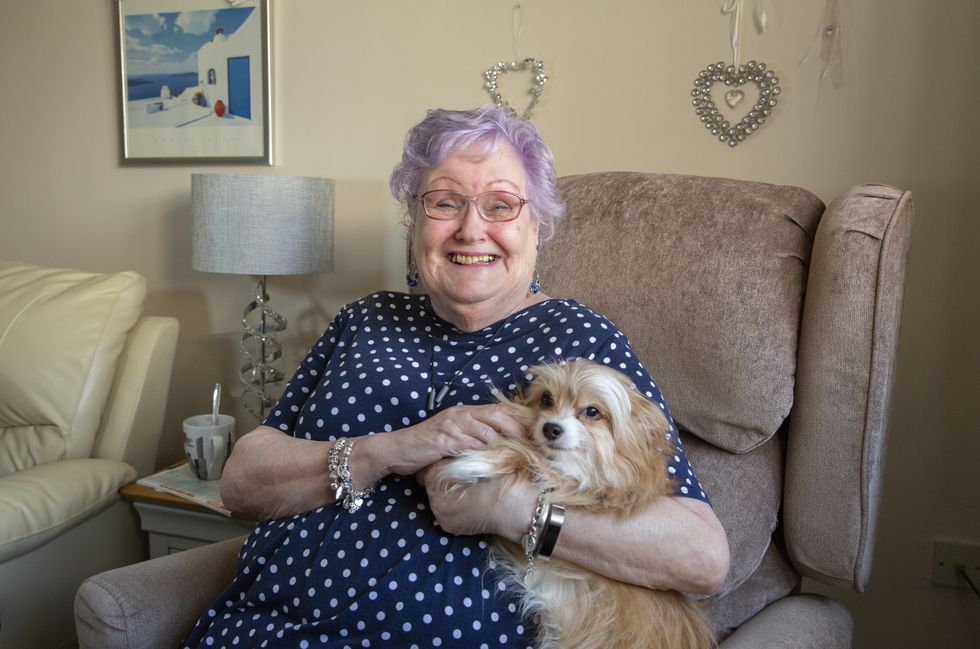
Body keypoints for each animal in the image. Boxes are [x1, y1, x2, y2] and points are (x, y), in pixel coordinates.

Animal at [432, 360, 716, 648]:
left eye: (592, 412)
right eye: (546, 399)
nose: (551, 428)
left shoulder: (587, 486)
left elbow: (527, 454)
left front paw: (475, 463)